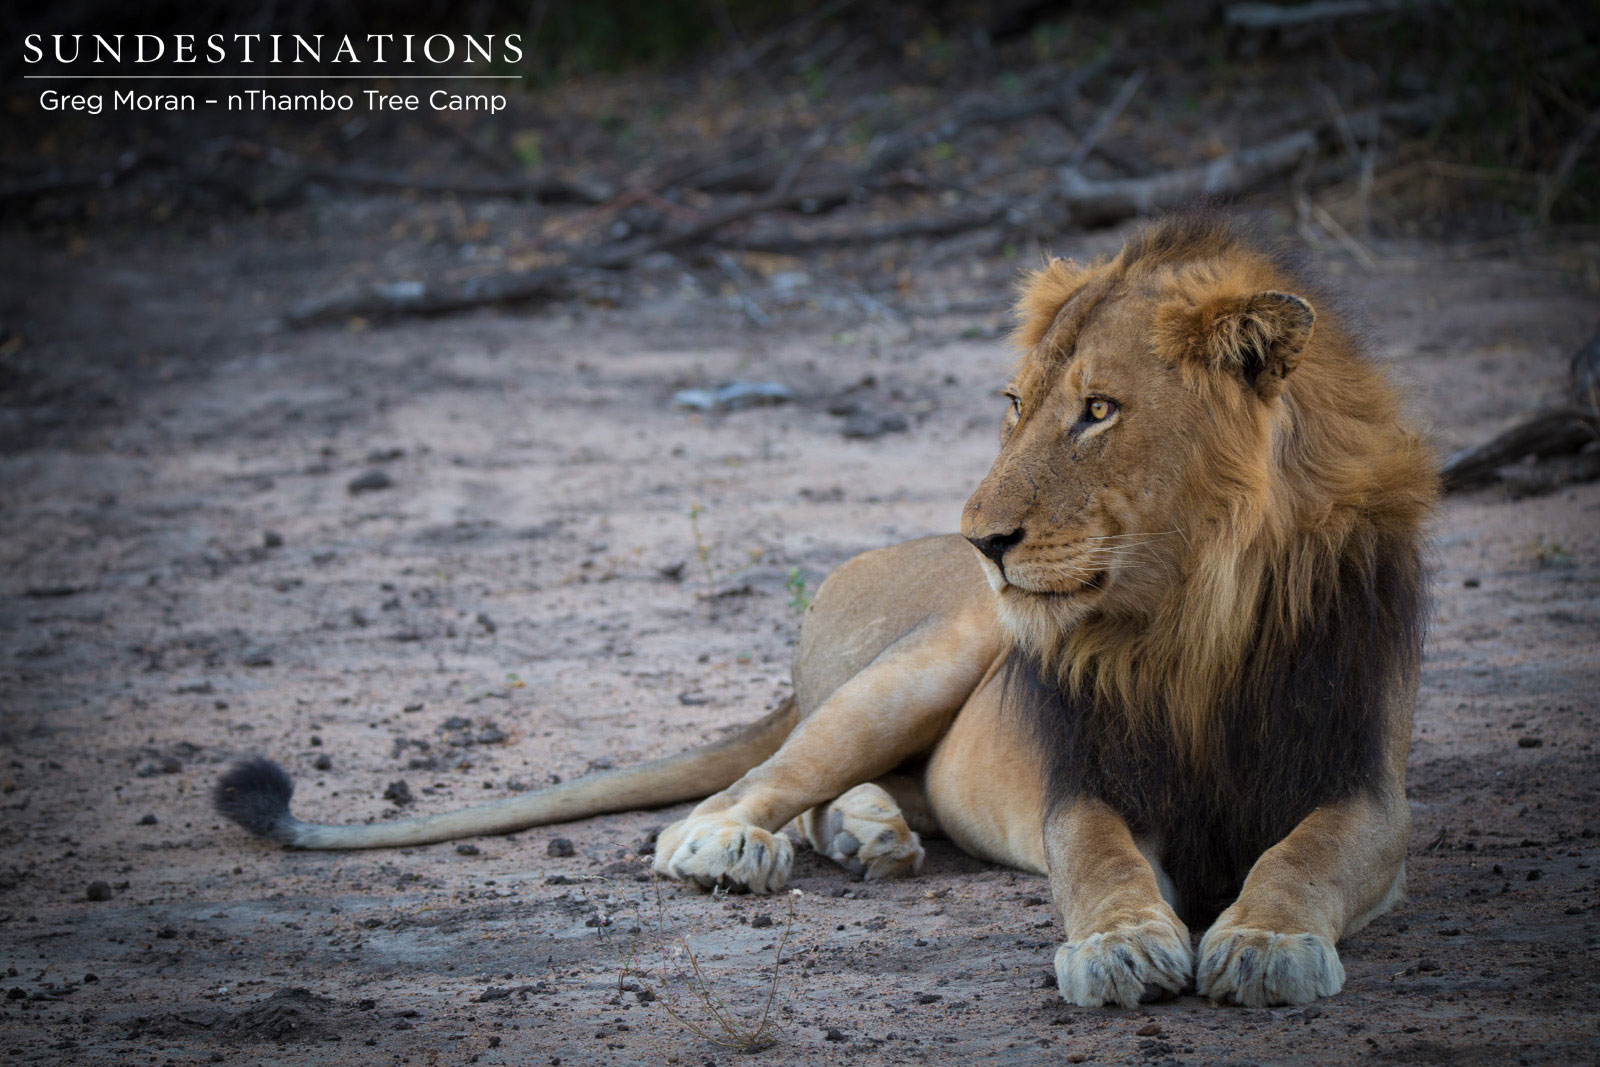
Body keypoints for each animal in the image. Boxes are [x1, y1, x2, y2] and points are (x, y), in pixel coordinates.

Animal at [215, 211, 1437, 1009]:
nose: (981, 540)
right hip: (922, 663)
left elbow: (1304, 857)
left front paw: (1265, 944)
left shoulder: (1364, 786)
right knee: (743, 789)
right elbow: (1100, 864)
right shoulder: (1087, 782)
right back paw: (744, 846)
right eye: (1014, 403)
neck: (1192, 619)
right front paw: (1125, 948)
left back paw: (870, 833)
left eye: (1098, 410)